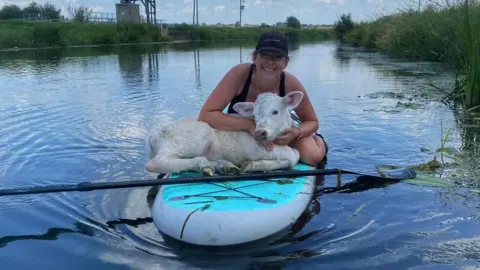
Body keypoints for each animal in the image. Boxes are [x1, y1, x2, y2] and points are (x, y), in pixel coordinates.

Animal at [144, 89, 306, 176]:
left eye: (275, 111)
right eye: (254, 116)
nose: (260, 133)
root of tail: (152, 136)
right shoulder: (254, 149)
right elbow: (294, 155)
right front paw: (254, 165)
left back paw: (222, 165)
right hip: (190, 140)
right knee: (156, 163)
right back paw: (205, 163)